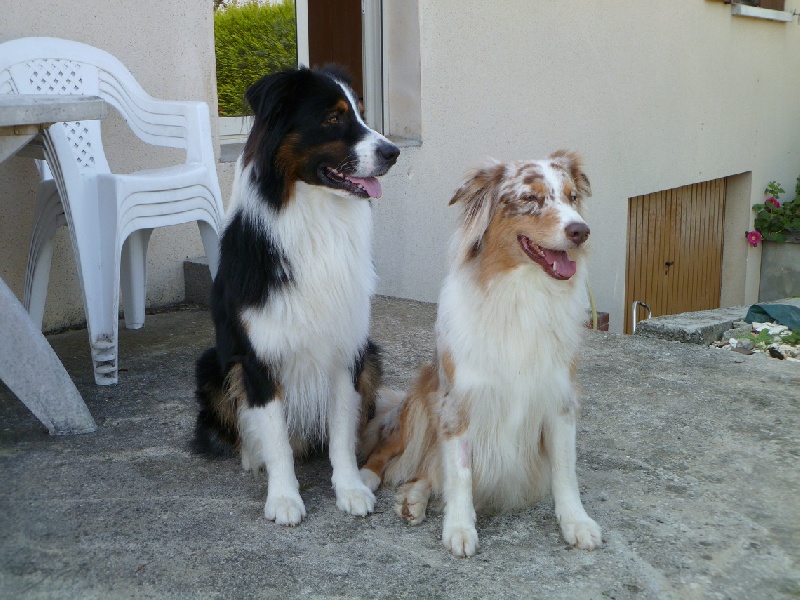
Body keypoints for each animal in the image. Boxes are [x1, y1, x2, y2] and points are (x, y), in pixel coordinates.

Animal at [195, 67, 400, 524]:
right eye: (333, 118)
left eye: (362, 112)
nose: (393, 152)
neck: (316, 220)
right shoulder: (259, 357)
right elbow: (276, 438)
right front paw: (284, 498)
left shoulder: (347, 349)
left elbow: (341, 431)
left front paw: (350, 489)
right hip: (212, 366)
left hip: (373, 357)